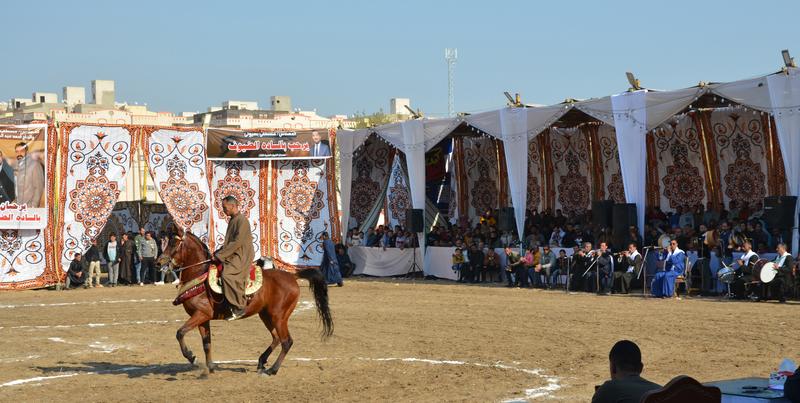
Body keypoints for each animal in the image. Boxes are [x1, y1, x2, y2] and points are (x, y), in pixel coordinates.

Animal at [158, 230, 332, 378]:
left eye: (173, 243)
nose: (158, 262)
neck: (199, 276)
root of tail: (292, 276)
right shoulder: (203, 318)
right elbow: (206, 343)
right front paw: (210, 367)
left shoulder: (201, 314)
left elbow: (180, 333)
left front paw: (191, 357)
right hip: (266, 315)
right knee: (276, 338)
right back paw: (261, 362)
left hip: (278, 316)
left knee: (286, 341)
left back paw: (272, 370)